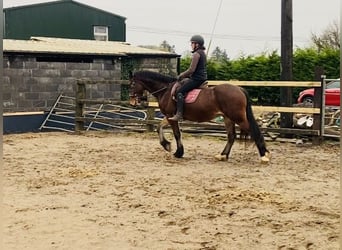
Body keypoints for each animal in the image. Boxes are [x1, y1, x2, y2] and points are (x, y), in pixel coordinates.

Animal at [130, 70, 272, 164]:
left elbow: (176, 134)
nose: (132, 101)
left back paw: (264, 156)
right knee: (231, 136)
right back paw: (222, 155)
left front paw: (177, 151)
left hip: (238, 118)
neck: (166, 90)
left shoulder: (172, 116)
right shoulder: (169, 116)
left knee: (254, 132)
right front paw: (167, 145)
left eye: (132, 84)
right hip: (228, 118)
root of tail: (239, 89)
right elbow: (159, 127)